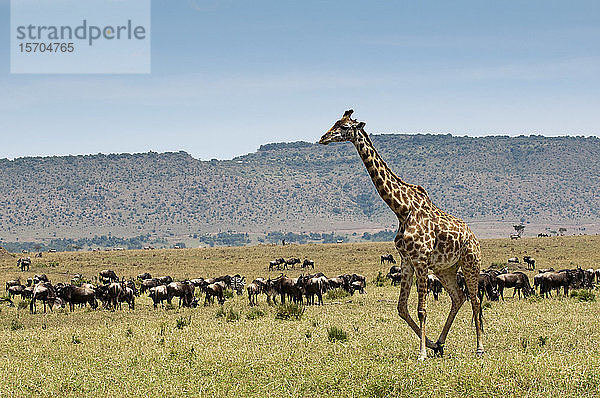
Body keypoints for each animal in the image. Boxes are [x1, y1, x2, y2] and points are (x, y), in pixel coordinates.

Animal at [318, 109, 482, 360]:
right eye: (335, 122)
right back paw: (441, 343)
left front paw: (422, 353)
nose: (323, 138)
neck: (402, 209)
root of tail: (474, 237)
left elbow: (422, 309)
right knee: (458, 297)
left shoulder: (421, 260)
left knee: (475, 299)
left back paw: (480, 347)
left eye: (344, 127)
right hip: (445, 269)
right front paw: (431, 345)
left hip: (470, 262)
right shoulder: (406, 260)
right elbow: (402, 308)